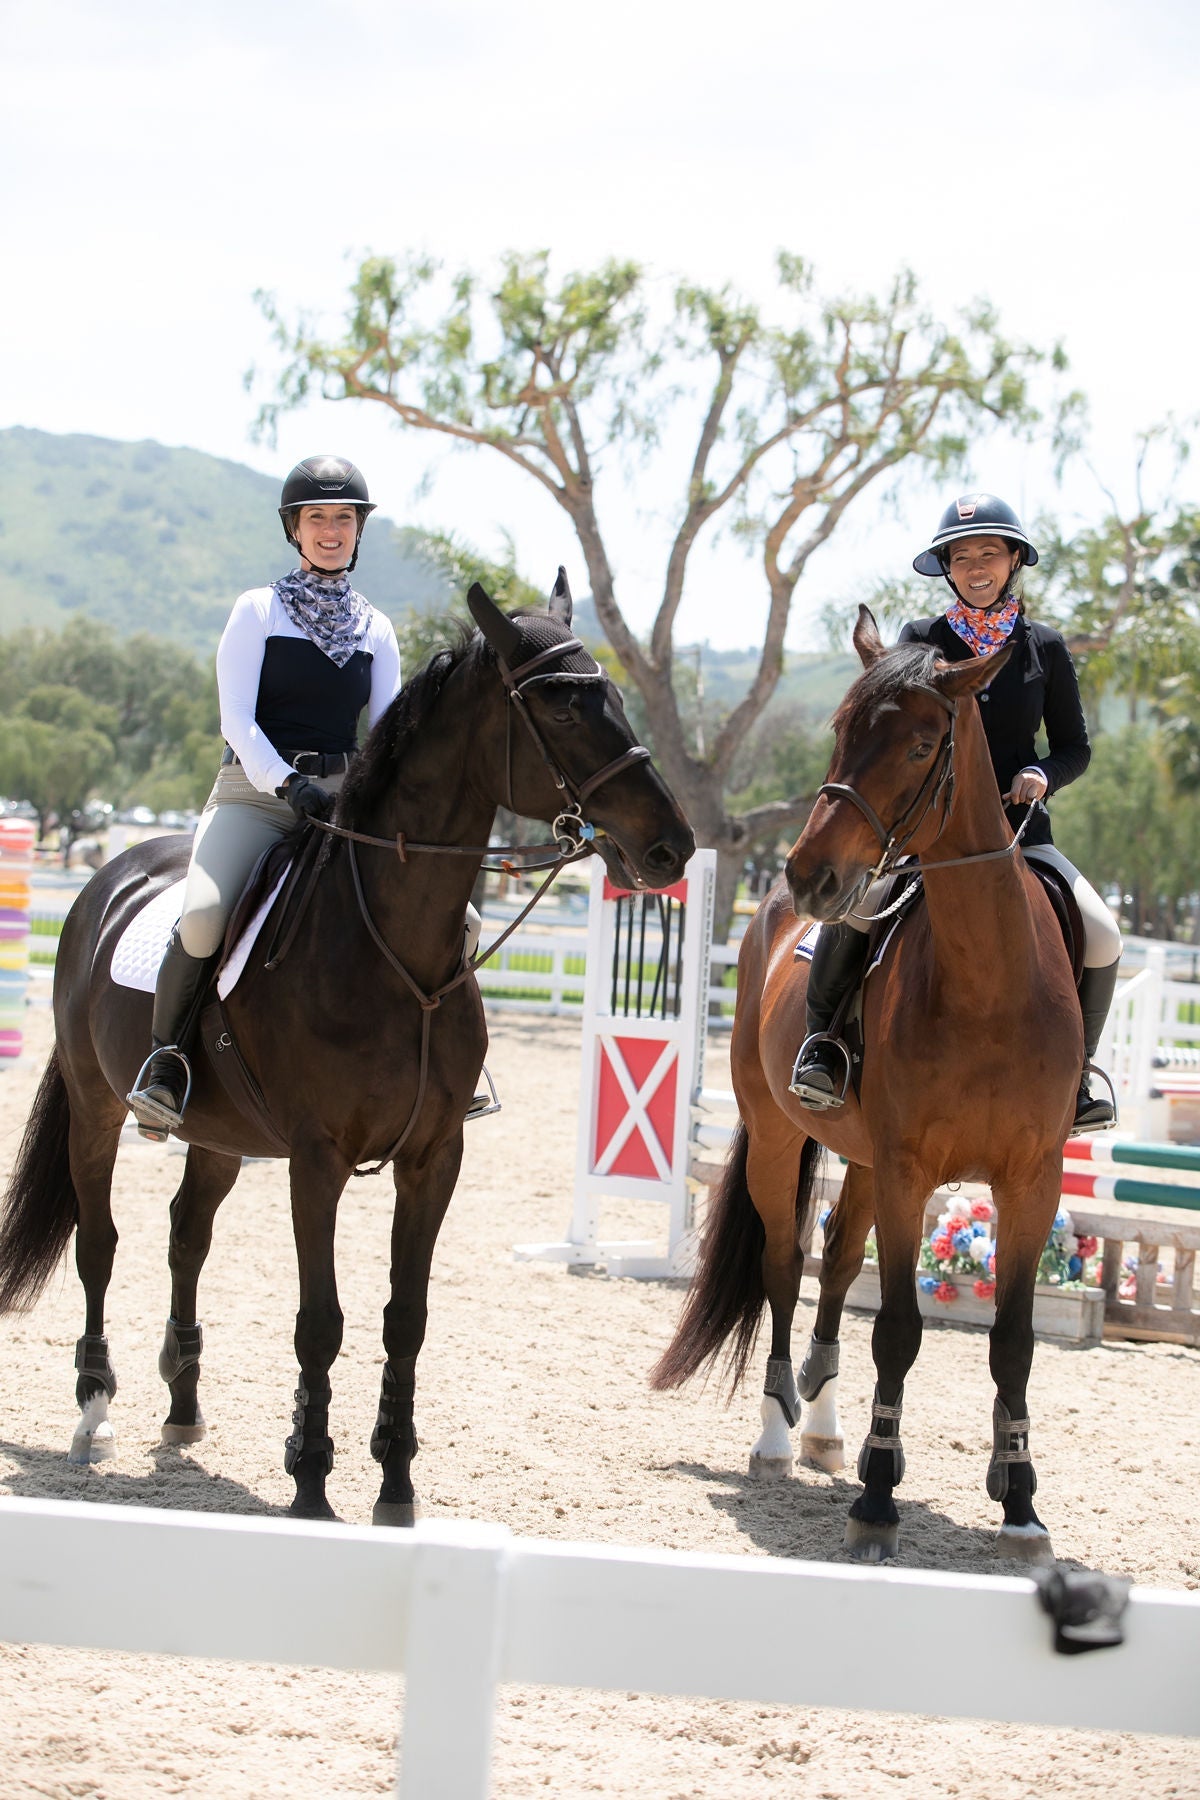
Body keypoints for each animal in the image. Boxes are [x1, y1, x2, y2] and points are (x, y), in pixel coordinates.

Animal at [0, 583, 694, 1526]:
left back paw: (183, 1406)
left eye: (612, 696)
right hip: (95, 1106)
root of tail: (111, 879)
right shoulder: (317, 1159)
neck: (393, 951)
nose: (672, 847)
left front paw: (394, 1486)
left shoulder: (435, 1156)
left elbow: (406, 1317)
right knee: (99, 1243)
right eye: (559, 705)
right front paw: (311, 1481)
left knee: (187, 1236)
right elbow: (320, 1321)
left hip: (220, 1135)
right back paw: (95, 1413)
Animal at [651, 604, 1086, 1562]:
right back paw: (779, 1433)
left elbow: (1012, 1340)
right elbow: (897, 1329)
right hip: (787, 1135)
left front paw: (1020, 1502)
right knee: (786, 1266)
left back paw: (824, 1428)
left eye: (923, 745)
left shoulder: (1029, 1178)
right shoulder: (912, 1170)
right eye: (841, 730)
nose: (808, 875)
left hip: (862, 1159)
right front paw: (879, 1500)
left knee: (839, 1264)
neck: (989, 981)